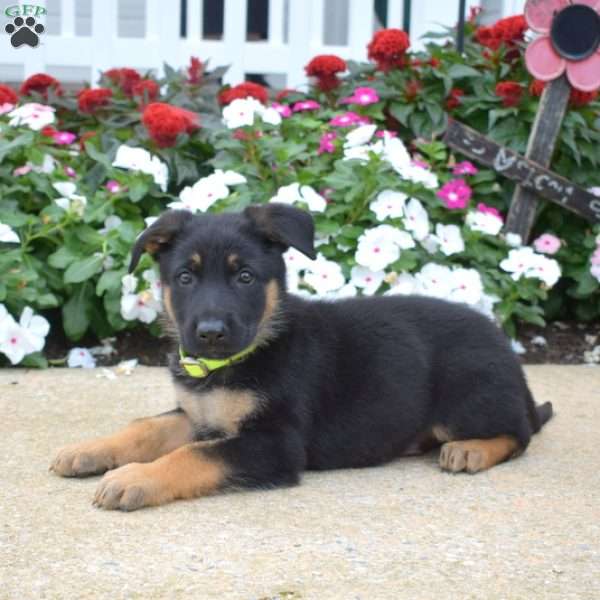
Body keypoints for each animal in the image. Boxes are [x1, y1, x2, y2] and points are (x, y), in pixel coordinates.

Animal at [51, 204, 552, 508]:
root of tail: (506, 350)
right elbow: (145, 427)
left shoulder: (276, 443)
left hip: (469, 392)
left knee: (521, 432)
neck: (229, 365)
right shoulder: (197, 414)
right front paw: (87, 451)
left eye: (246, 277)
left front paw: (133, 479)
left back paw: (471, 449)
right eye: (185, 278)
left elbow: (194, 456)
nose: (210, 334)